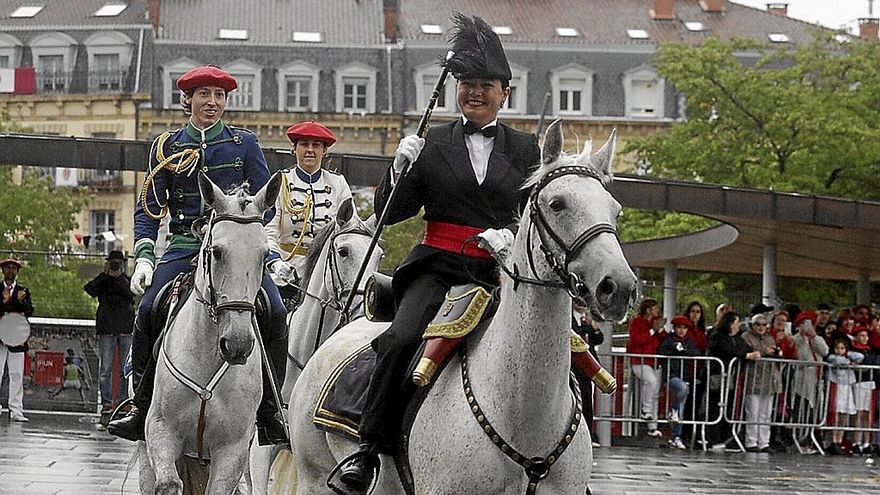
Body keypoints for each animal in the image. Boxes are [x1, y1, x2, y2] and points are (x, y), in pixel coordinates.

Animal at [139, 171, 282, 495]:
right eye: (216, 252)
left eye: (264, 254)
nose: (238, 343)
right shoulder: (161, 432)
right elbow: (168, 484)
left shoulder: (233, 449)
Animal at [288, 121, 640, 495]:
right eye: (557, 204)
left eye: (615, 209)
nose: (618, 286)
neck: (524, 413)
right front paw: (407, 154)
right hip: (314, 477)